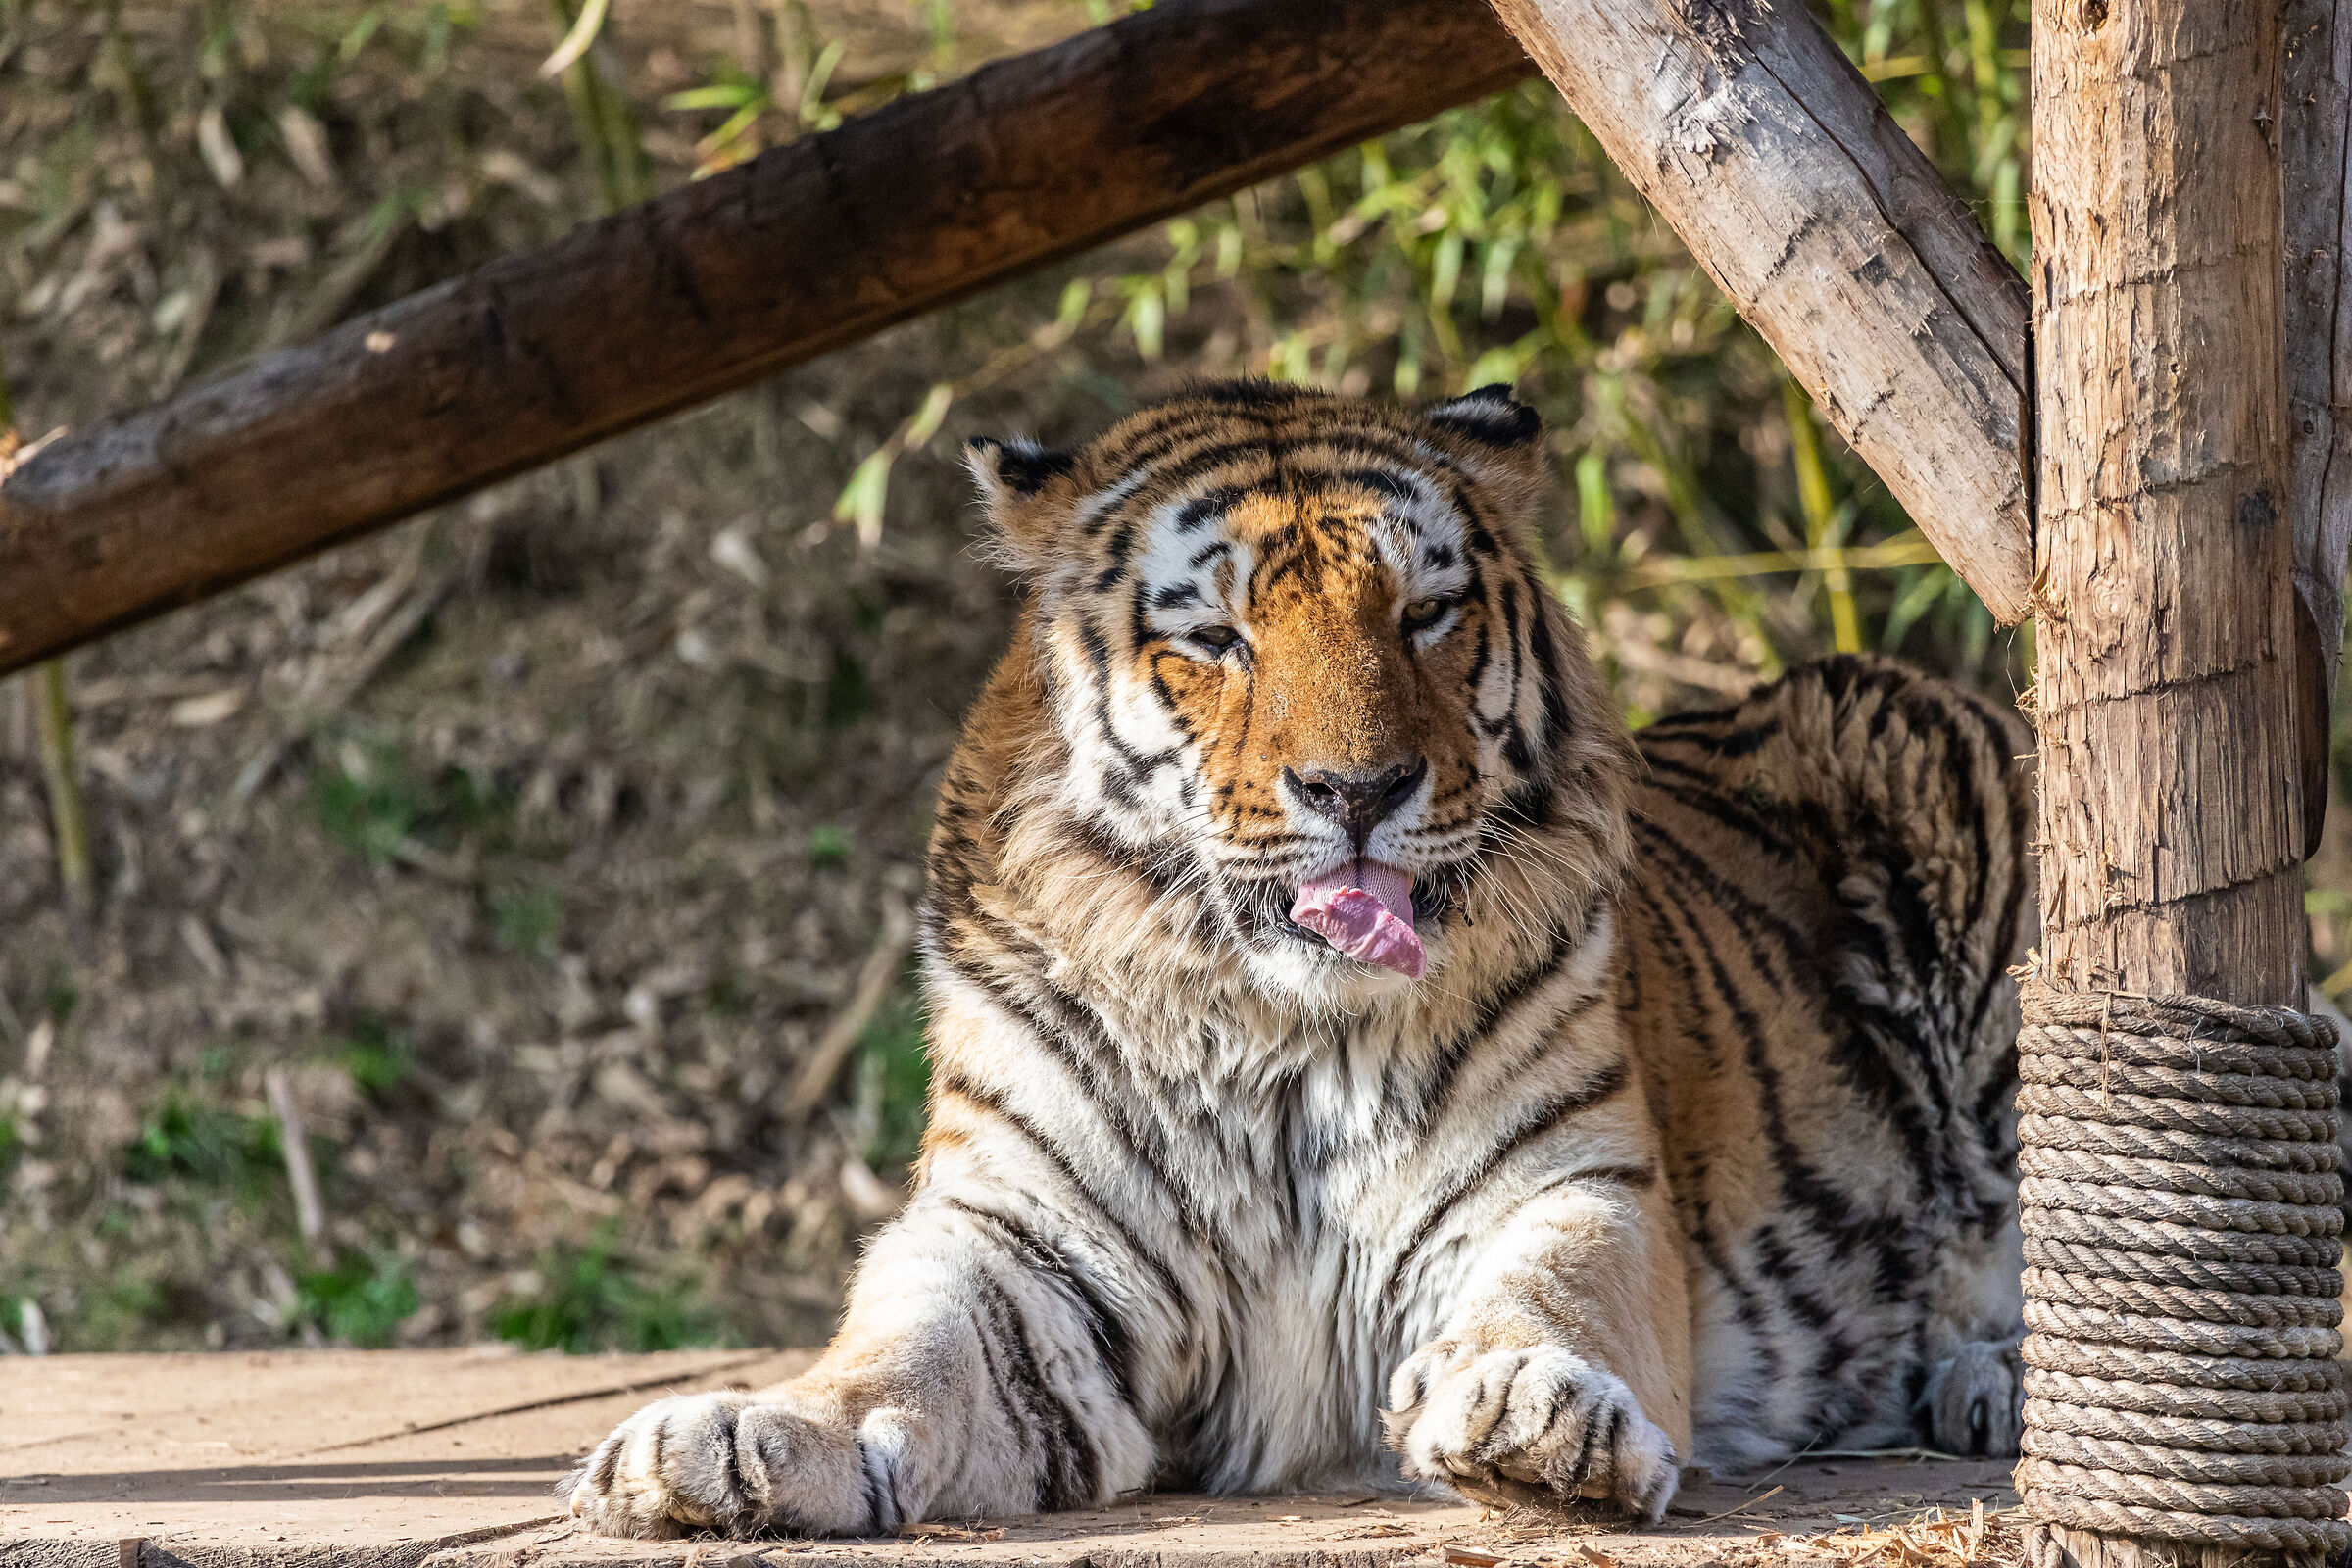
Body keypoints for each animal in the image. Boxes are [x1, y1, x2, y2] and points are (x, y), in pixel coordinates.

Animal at [563, 381, 2034, 1538]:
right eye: (1217, 639)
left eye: (1426, 612)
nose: (1358, 790)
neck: (1276, 1032)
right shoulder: (1024, 1241)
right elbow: (894, 1345)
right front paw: (732, 1439)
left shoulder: (1573, 1180)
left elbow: (1552, 1293)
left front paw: (1529, 1414)